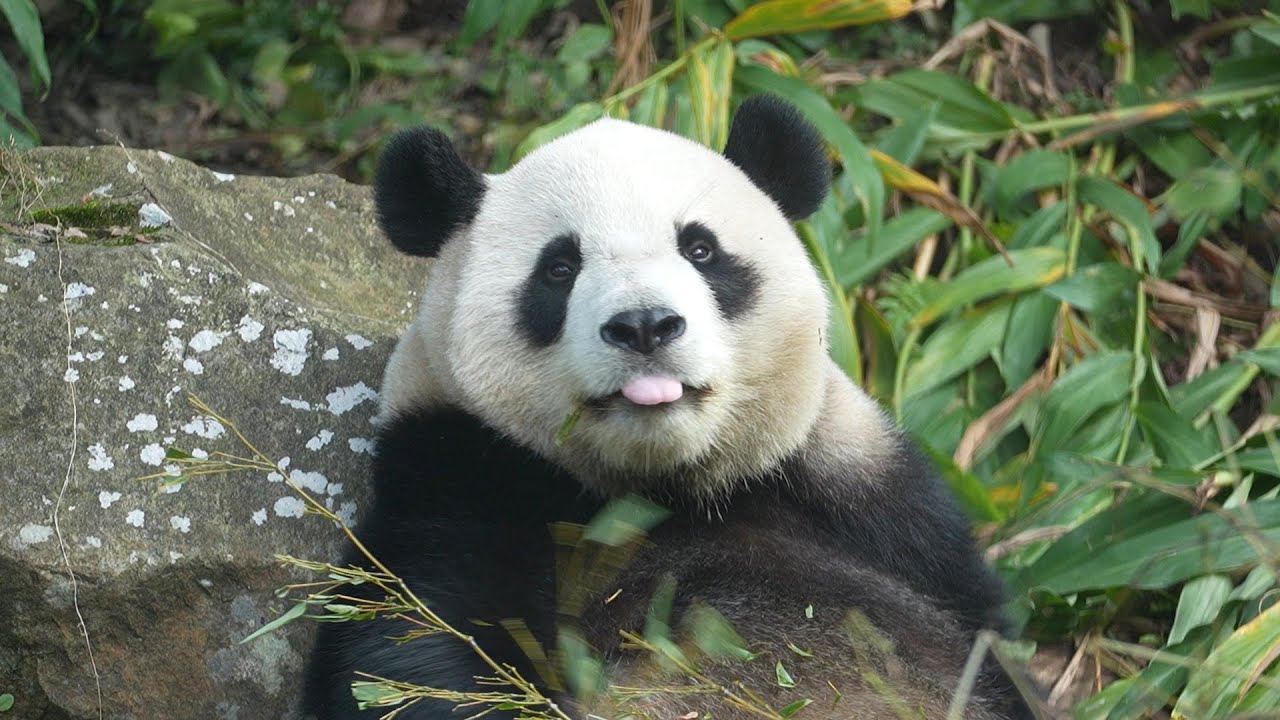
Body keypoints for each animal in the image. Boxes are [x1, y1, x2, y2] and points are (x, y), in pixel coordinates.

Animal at [303, 96, 1035, 720]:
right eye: (559, 268)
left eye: (700, 248)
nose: (644, 326)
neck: (663, 485)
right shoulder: (460, 477)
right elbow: (406, 653)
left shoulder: (866, 499)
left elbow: (981, 640)